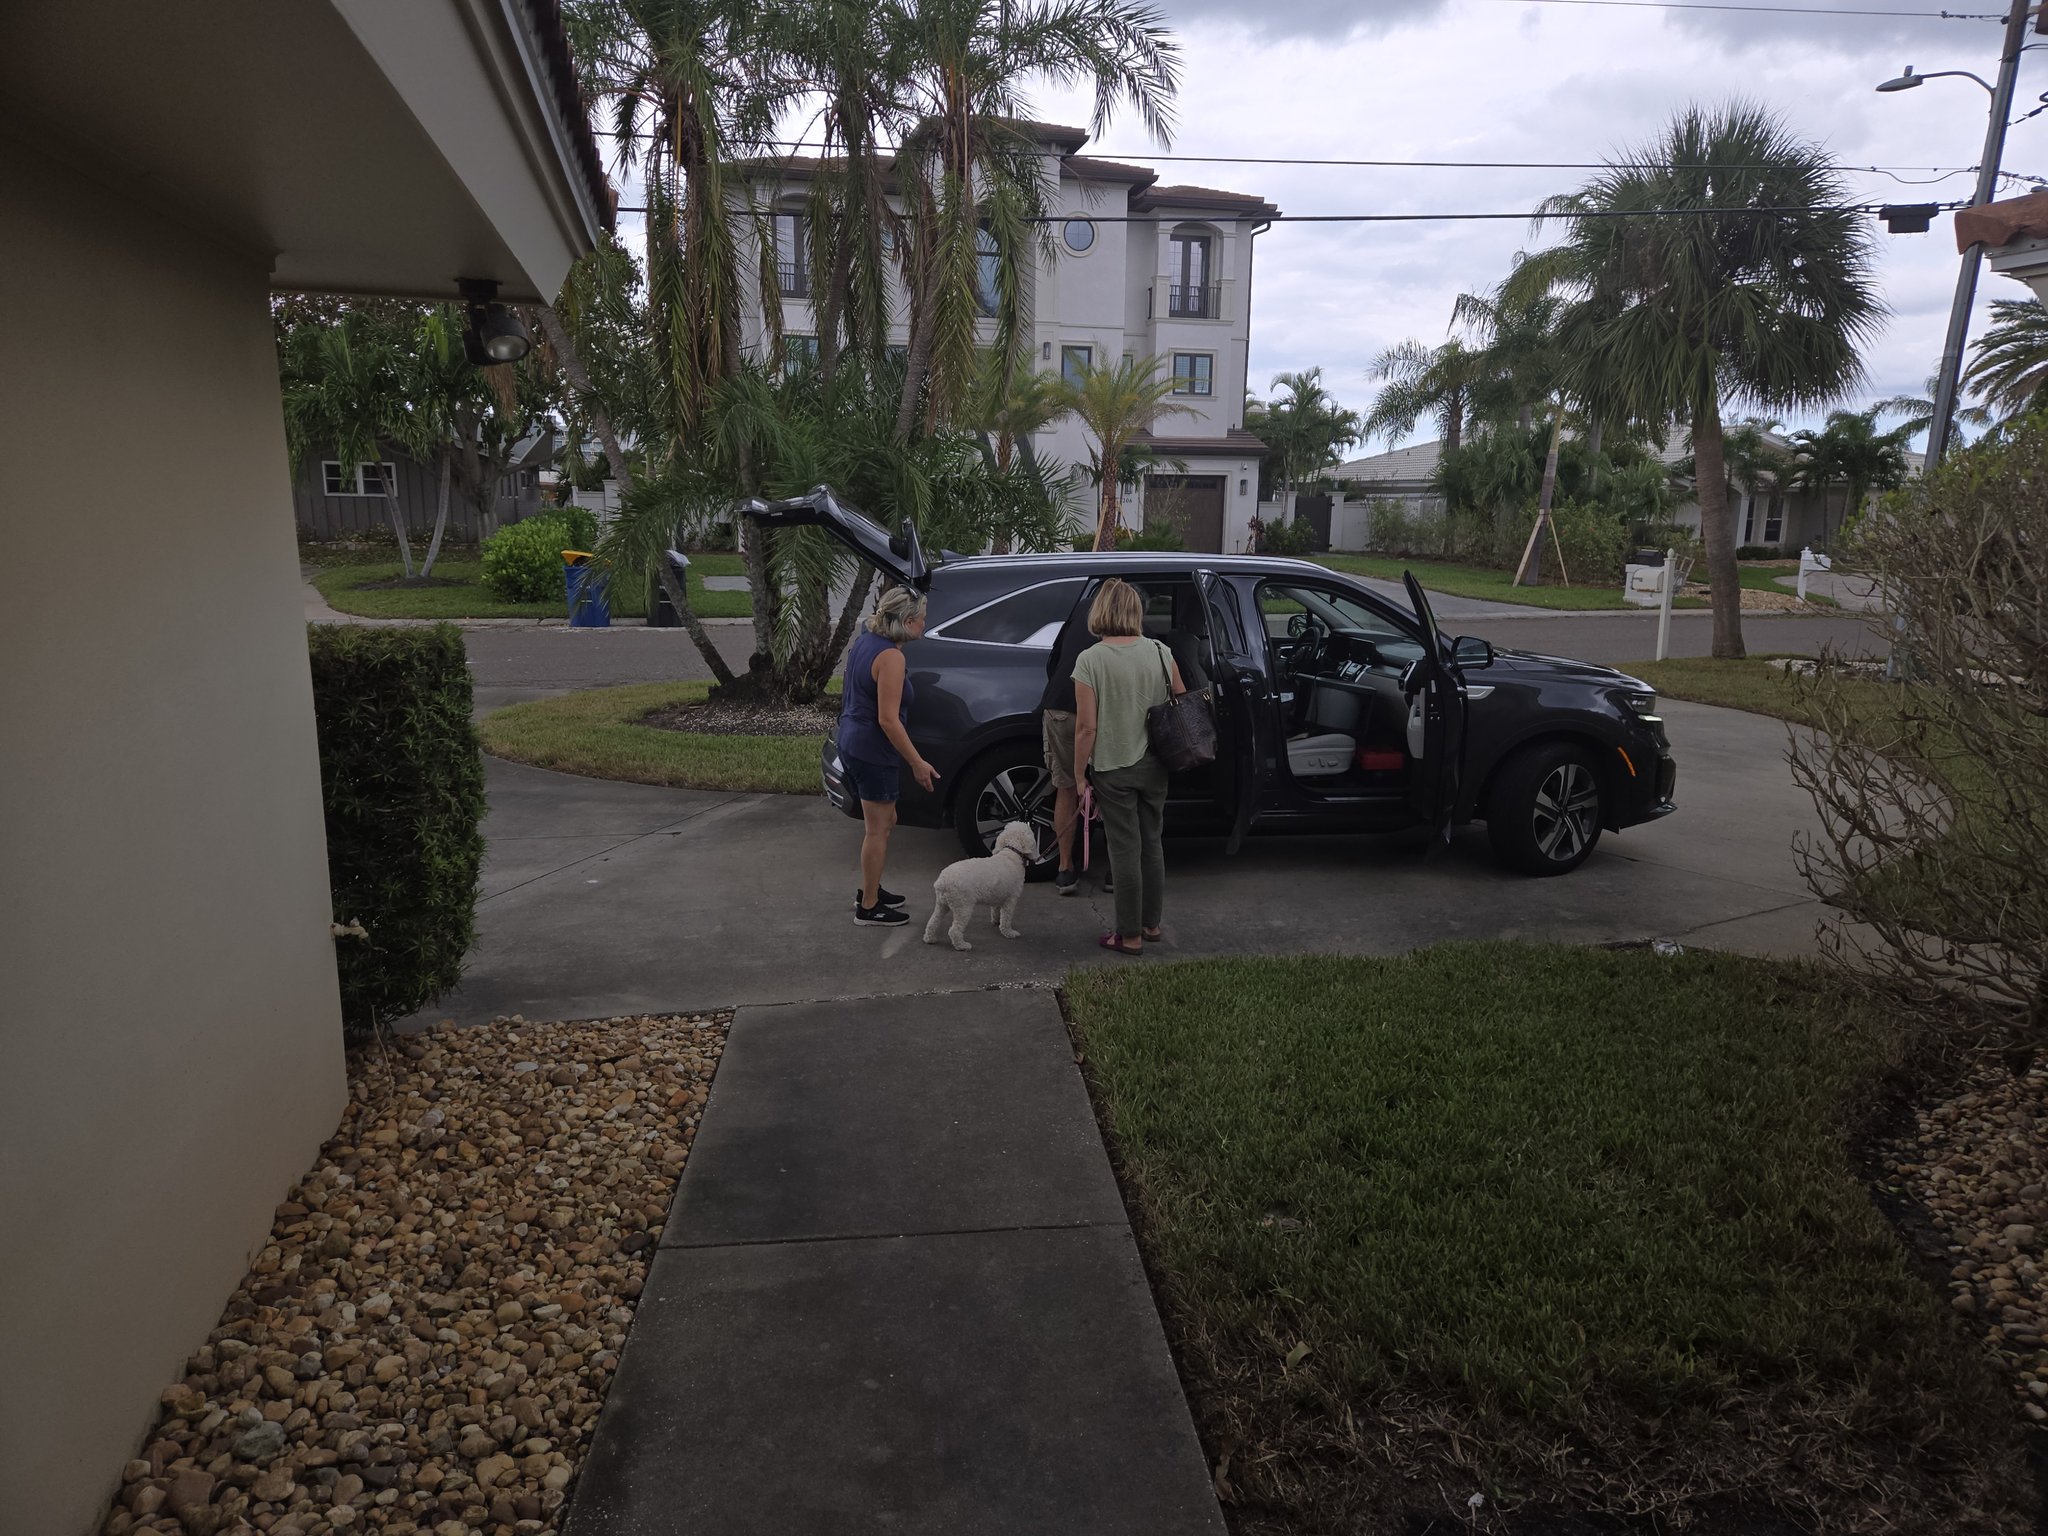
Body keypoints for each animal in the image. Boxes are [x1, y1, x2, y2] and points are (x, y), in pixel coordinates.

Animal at [925, 819, 1040, 950]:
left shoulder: (998, 895)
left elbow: (996, 910)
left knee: (933, 921)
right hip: (963, 906)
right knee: (954, 930)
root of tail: (942, 881)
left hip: (942, 903)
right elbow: (1006, 918)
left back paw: (930, 939)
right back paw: (962, 945)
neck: (1012, 852)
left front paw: (996, 921)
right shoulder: (1011, 900)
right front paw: (1009, 933)